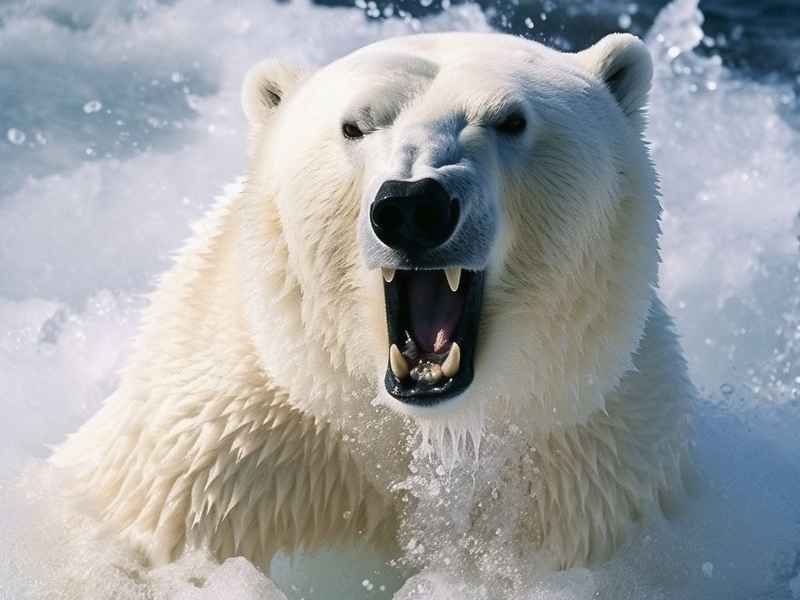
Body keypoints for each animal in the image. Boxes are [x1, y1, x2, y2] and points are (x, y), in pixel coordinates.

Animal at [51, 30, 693, 576]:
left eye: (511, 120)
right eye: (355, 126)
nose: (414, 205)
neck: (421, 433)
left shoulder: (588, 473)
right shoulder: (226, 465)